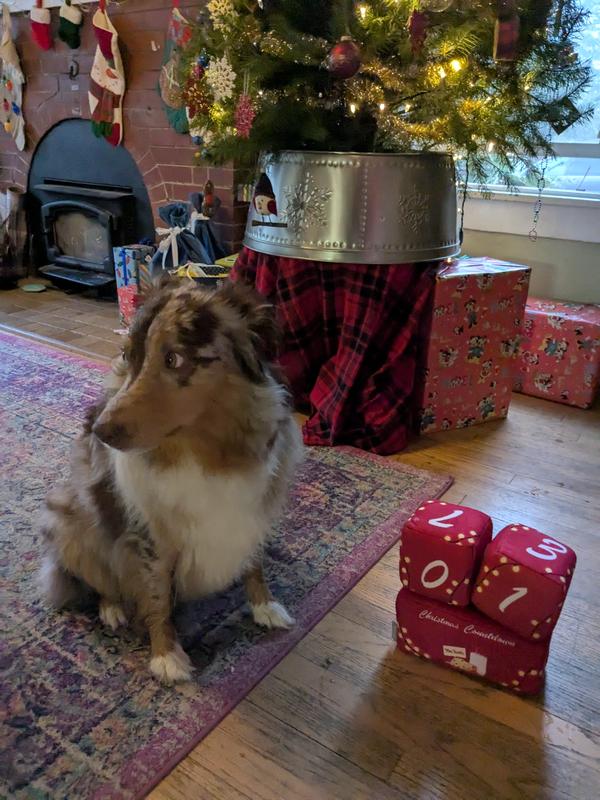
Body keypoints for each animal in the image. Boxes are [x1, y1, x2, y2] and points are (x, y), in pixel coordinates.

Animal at [39, 276, 303, 683]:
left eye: (173, 358)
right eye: (128, 354)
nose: (97, 429)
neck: (205, 453)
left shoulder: (252, 509)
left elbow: (254, 564)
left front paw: (265, 606)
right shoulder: (149, 537)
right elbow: (157, 595)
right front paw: (166, 657)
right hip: (72, 518)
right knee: (98, 575)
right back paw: (111, 608)